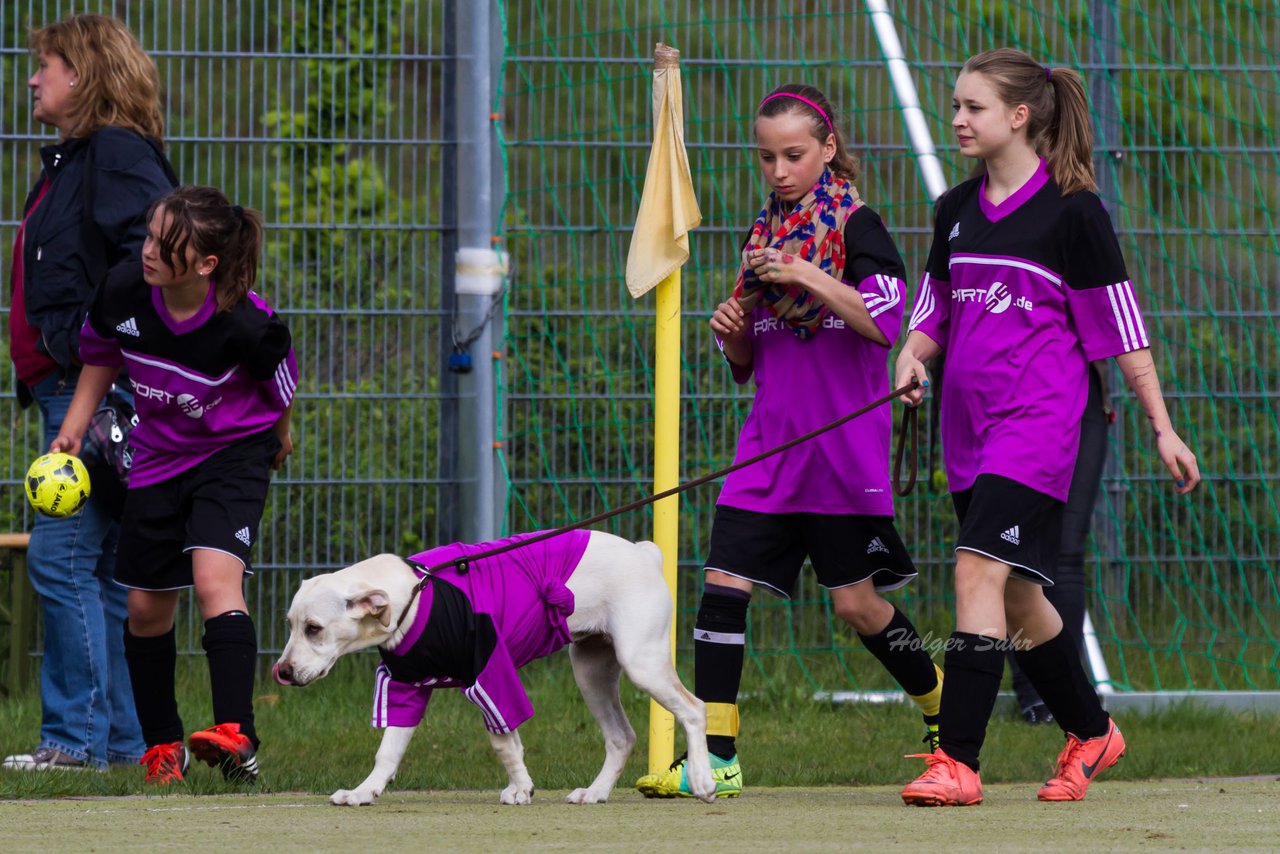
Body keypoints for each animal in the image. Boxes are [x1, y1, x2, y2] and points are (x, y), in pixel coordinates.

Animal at [273, 530, 716, 804]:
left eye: (314, 629)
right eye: (289, 625)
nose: (283, 673)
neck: (413, 595)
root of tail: (644, 553)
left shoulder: (491, 675)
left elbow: (503, 741)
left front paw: (521, 789)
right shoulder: (407, 687)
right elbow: (388, 752)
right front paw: (365, 792)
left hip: (642, 662)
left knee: (695, 710)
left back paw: (703, 778)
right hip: (591, 672)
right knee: (621, 737)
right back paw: (596, 792)